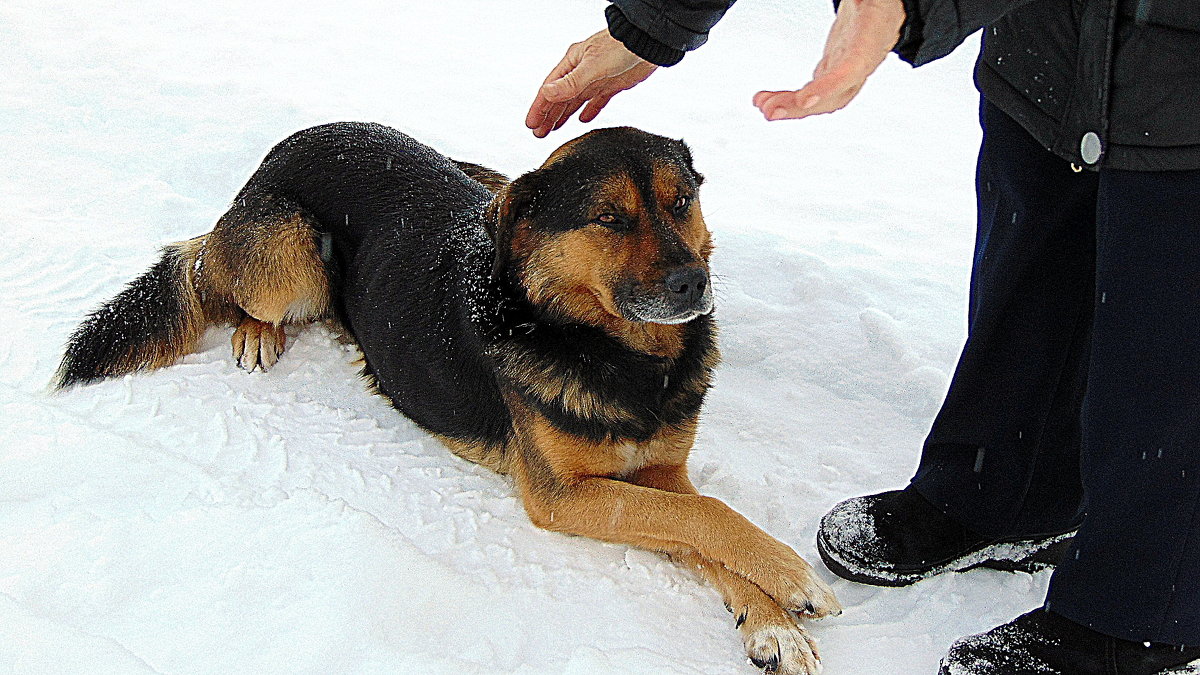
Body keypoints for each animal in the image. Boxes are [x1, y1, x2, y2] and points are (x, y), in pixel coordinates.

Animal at [58, 121, 844, 672]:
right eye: (611, 219)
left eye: (682, 203)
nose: (693, 285)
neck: (615, 352)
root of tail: (292, 140)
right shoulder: (561, 495)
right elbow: (704, 514)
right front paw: (791, 575)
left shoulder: (658, 470)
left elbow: (699, 519)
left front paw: (772, 623)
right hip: (286, 255)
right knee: (214, 279)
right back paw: (255, 329)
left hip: (479, 177)